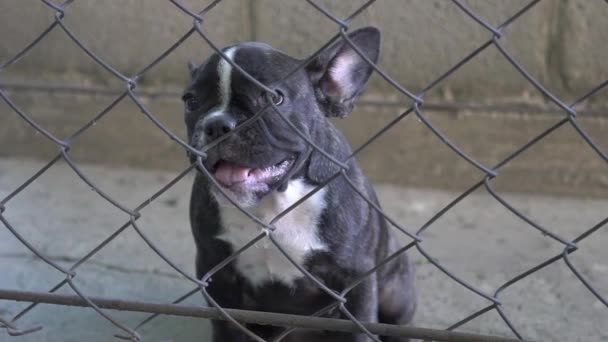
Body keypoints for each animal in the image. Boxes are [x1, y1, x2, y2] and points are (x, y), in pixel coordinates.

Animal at [183, 27, 416, 342]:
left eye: (275, 99)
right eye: (190, 102)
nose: (217, 124)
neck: (272, 204)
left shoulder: (355, 279)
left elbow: (360, 329)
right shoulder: (217, 274)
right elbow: (227, 327)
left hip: (395, 292)